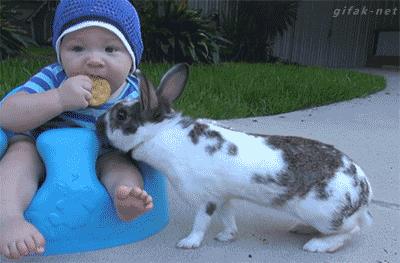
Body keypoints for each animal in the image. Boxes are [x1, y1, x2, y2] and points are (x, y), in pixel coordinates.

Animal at [96, 63, 372, 254]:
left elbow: (201, 222)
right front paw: (227, 237)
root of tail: (363, 192)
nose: (98, 123)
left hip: (323, 214)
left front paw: (188, 243)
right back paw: (301, 229)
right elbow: (228, 218)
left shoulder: (205, 199)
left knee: (353, 230)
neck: (160, 133)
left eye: (121, 115)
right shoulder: (223, 197)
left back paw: (317, 245)